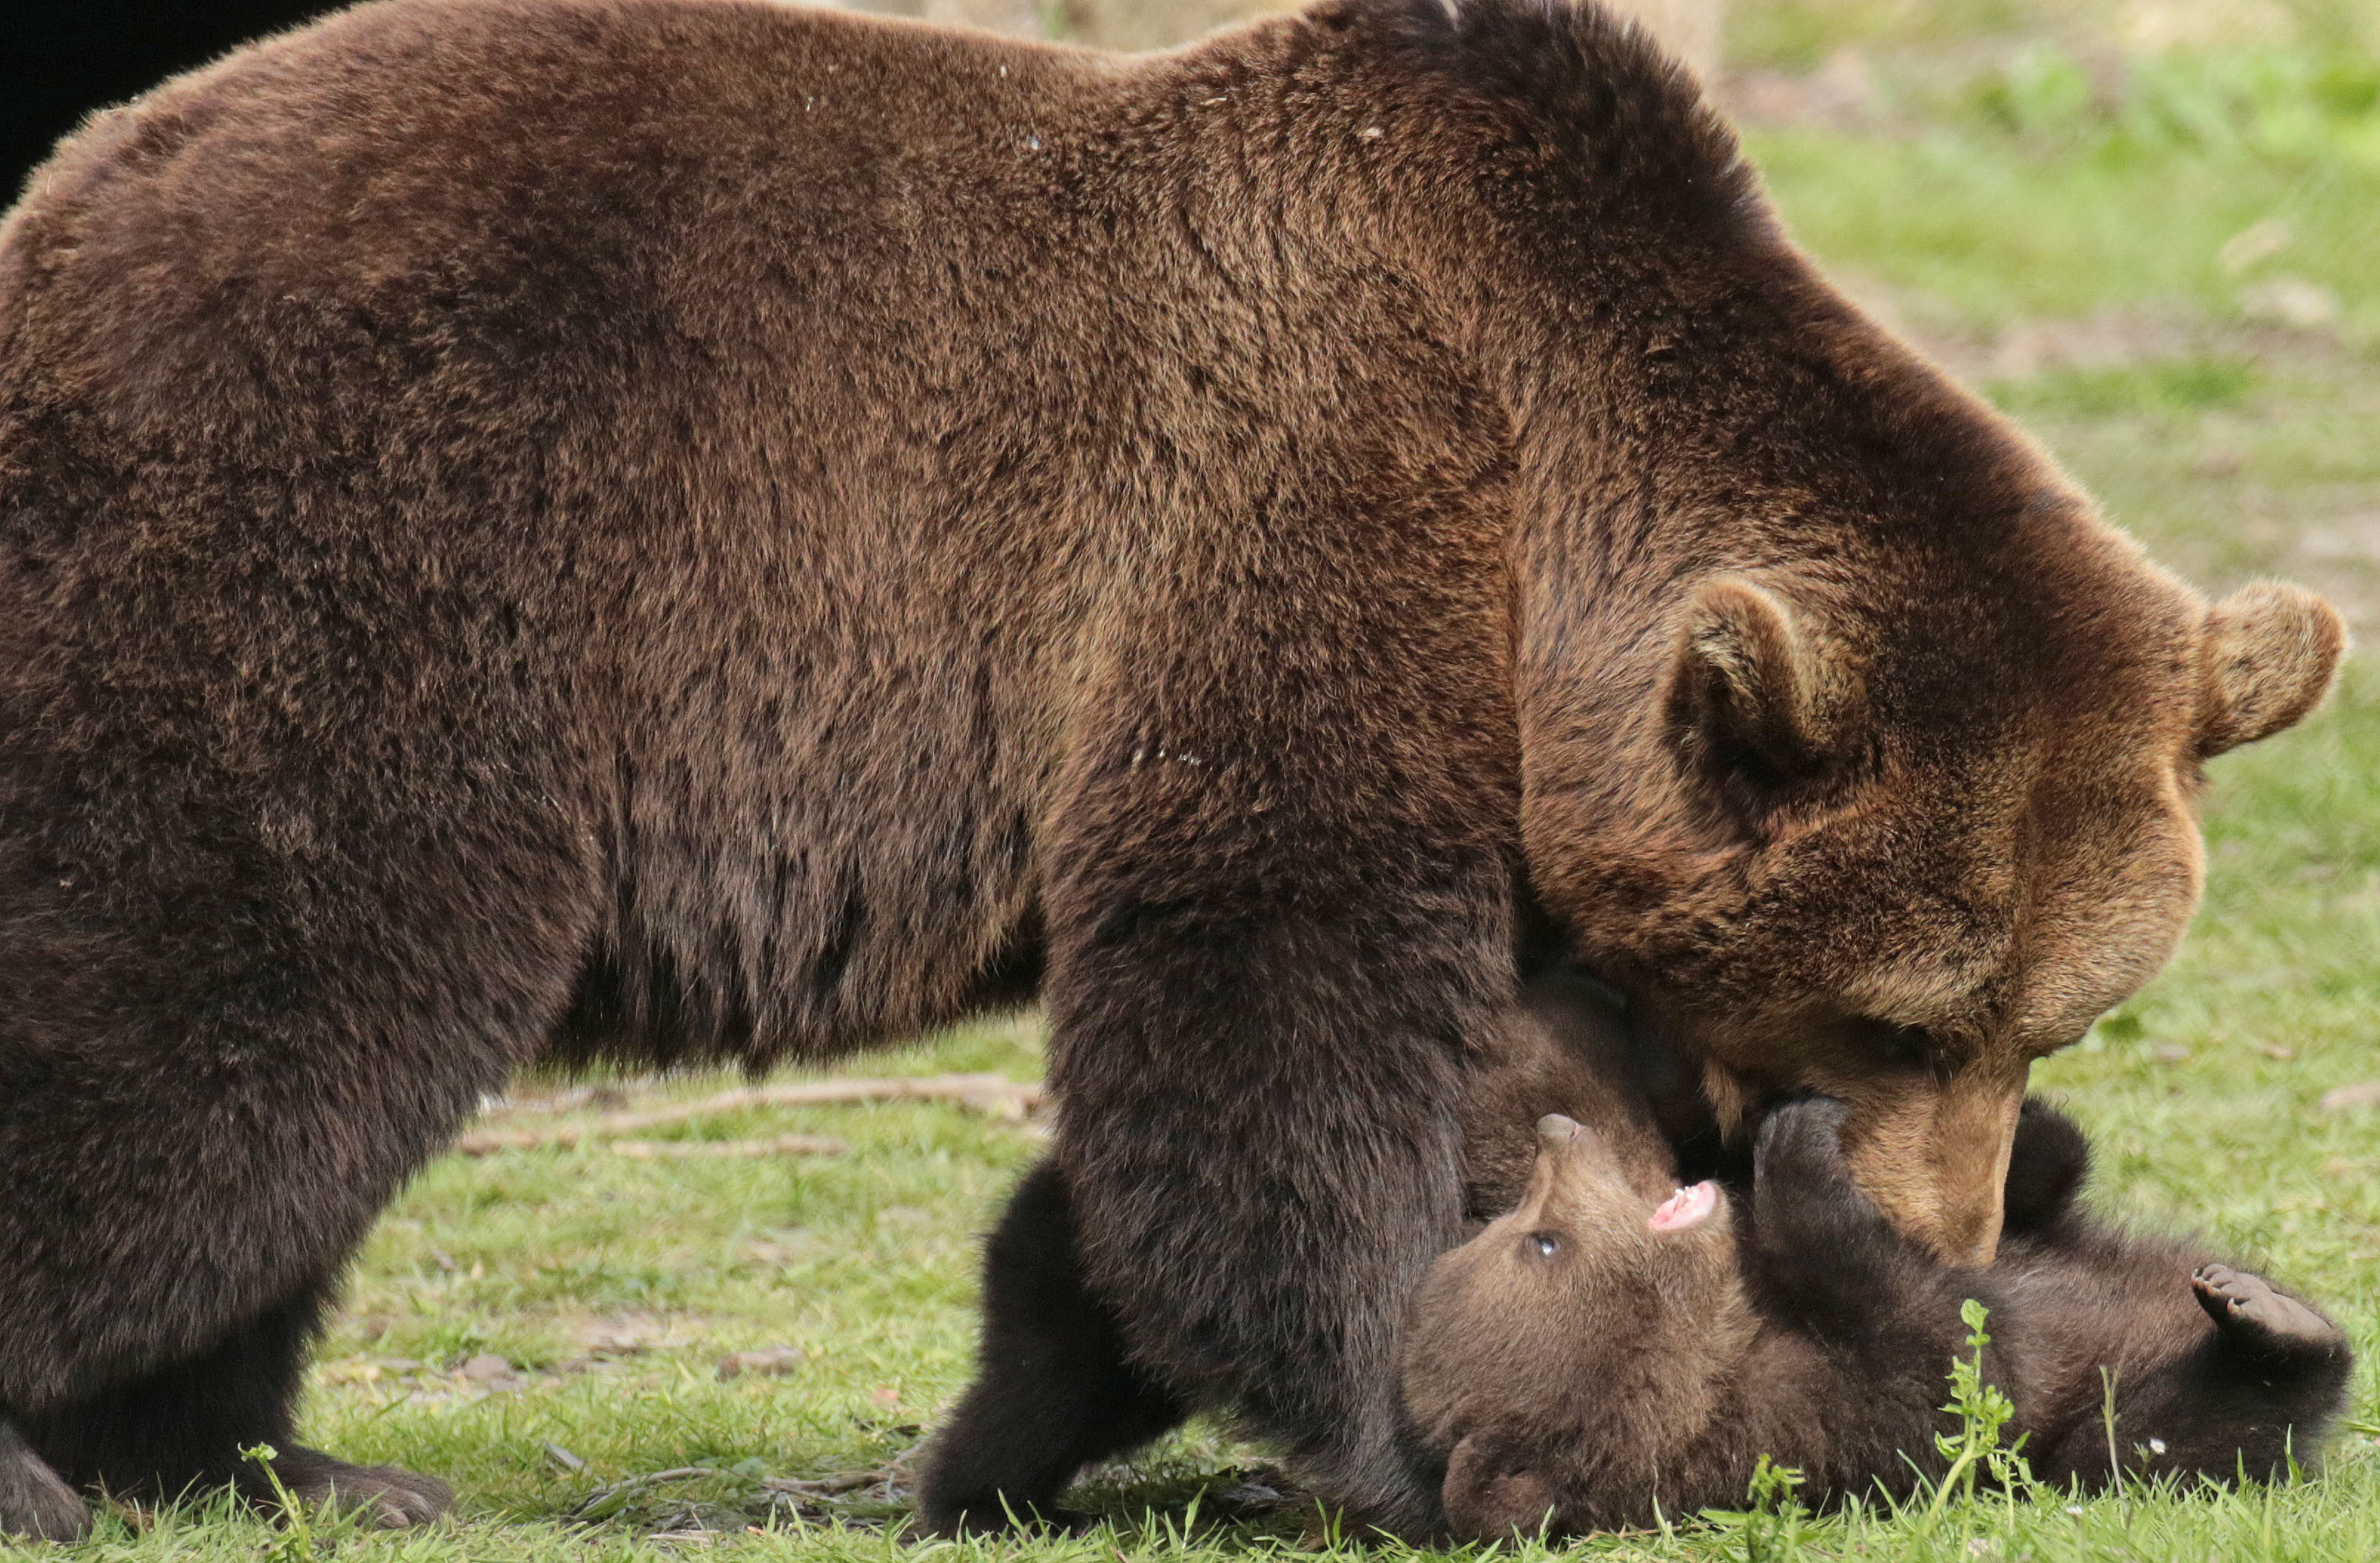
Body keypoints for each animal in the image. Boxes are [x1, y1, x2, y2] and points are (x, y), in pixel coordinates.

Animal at [1399, 1099, 2351, 1532]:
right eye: (1542, 1242)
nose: (1555, 1128)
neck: (1732, 1333)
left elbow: (2036, 1200)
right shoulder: (1826, 1416)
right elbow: (1964, 1361)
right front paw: (1797, 1144)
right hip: (2114, 1440)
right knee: (2185, 1427)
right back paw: (2270, 1323)